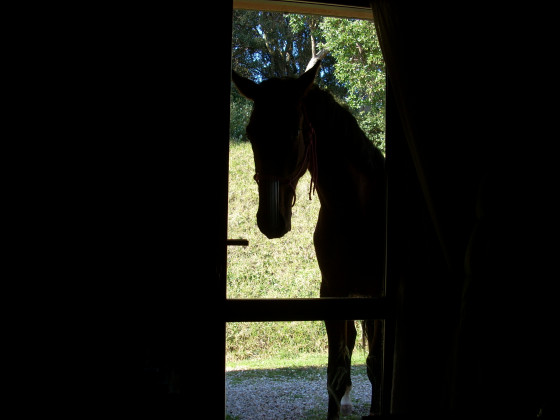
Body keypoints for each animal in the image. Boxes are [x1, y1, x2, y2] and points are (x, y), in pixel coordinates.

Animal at [234, 60, 388, 418]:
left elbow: (376, 364)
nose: (271, 220)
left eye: (294, 132)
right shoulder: (332, 292)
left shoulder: (379, 295)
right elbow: (336, 373)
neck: (356, 209)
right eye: (250, 133)